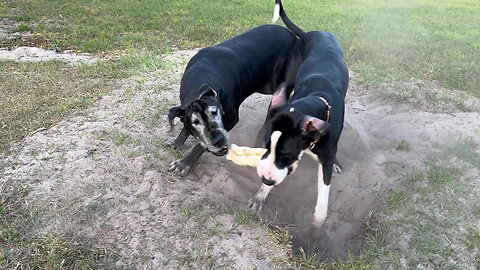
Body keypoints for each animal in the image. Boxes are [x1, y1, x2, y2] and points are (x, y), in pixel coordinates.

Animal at [167, 24, 298, 176]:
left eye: (215, 112)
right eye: (195, 122)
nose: (218, 140)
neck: (198, 82)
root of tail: (291, 34)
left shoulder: (230, 120)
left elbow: (200, 146)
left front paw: (184, 163)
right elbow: (186, 128)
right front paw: (178, 142)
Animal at [251, 0, 348, 229]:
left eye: (286, 155)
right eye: (266, 148)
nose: (265, 179)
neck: (317, 98)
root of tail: (311, 33)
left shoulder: (324, 162)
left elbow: (322, 202)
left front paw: (316, 229)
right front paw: (261, 194)